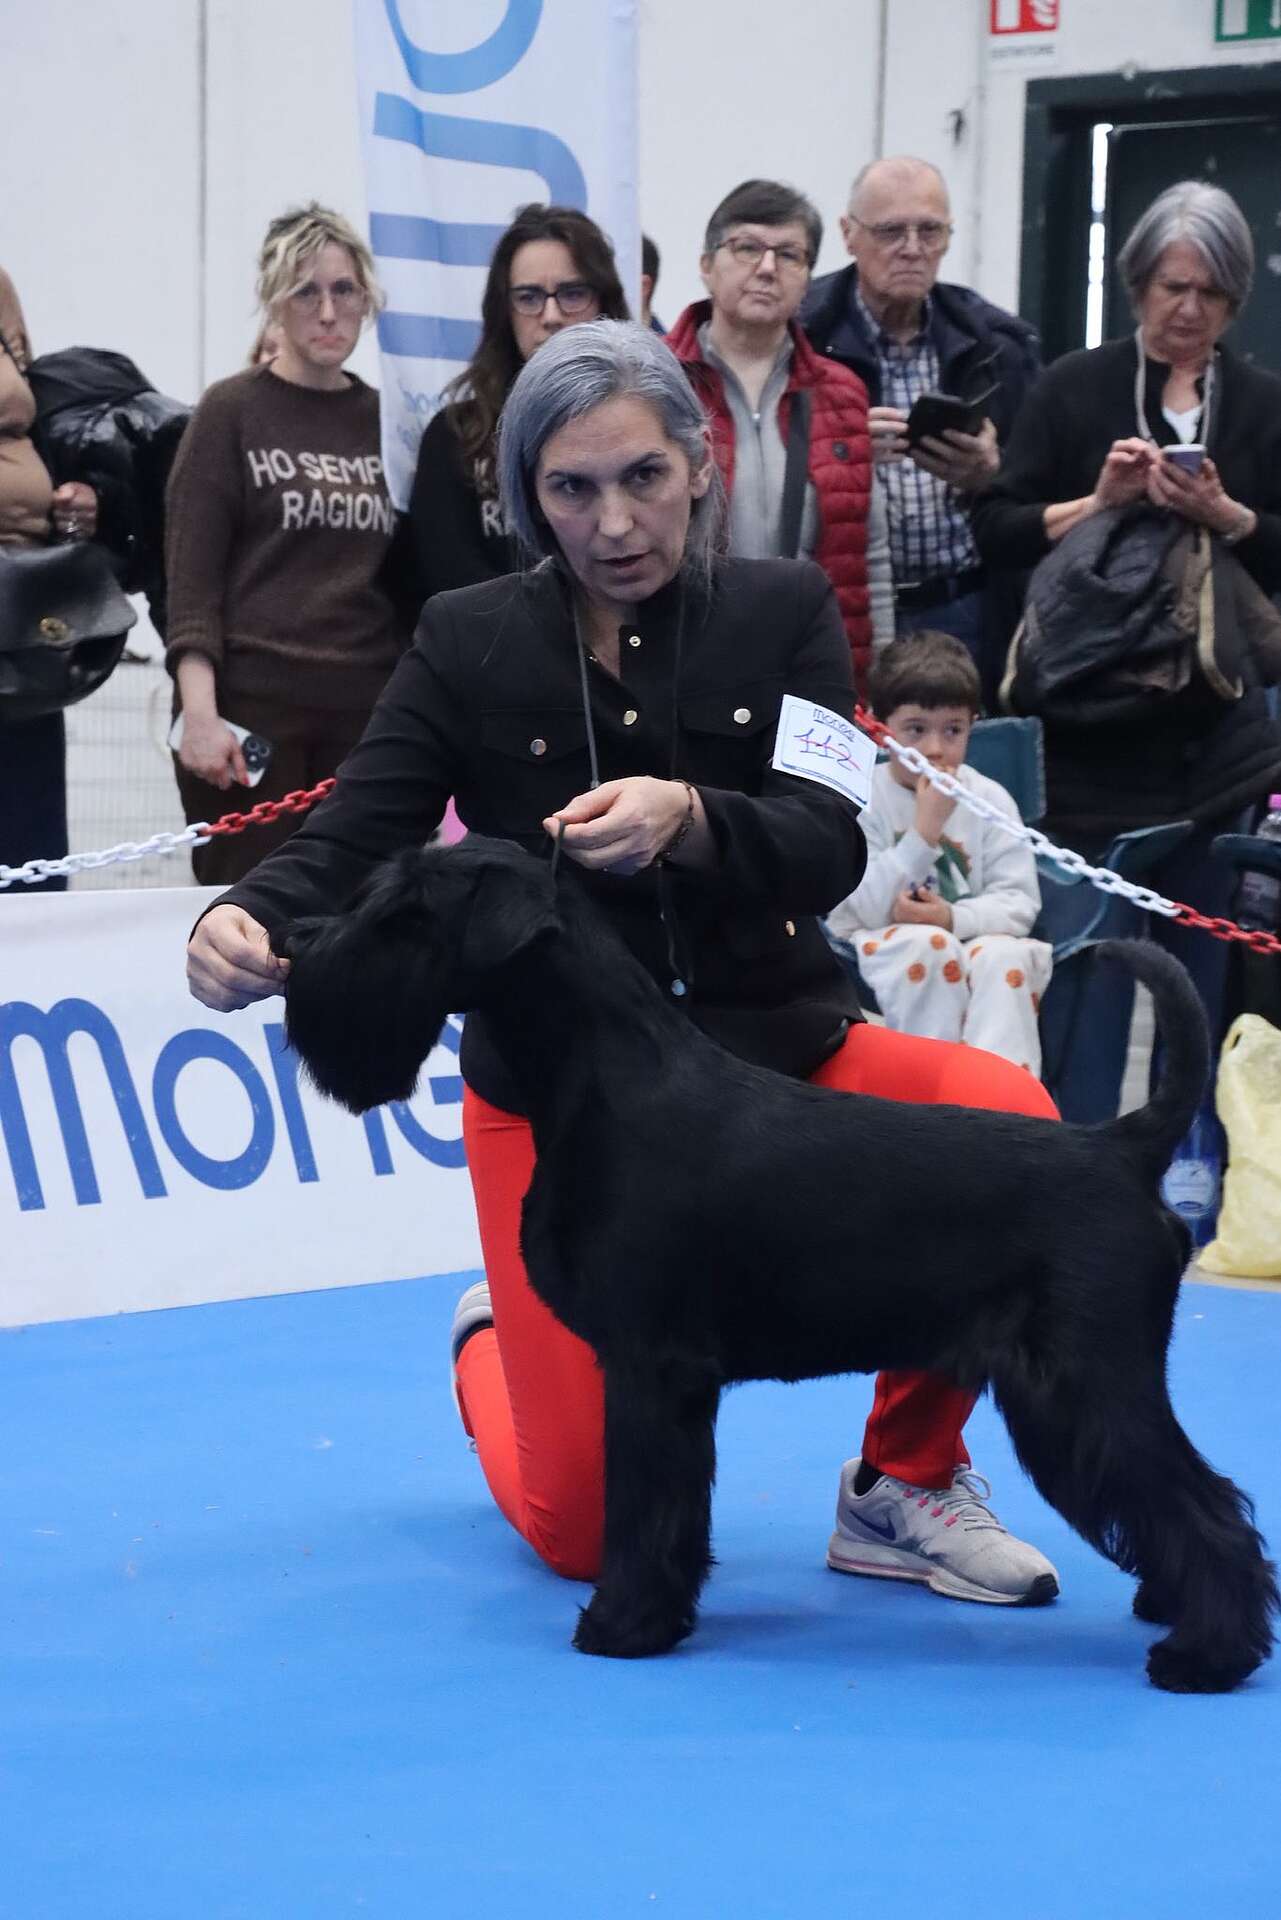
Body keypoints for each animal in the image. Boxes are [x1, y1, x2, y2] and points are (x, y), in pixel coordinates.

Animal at [278, 836, 1277, 1693]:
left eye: (407, 909)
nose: (294, 945)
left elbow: (643, 1503)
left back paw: (1206, 1653)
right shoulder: (666, 1381)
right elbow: (670, 1508)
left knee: (1205, 1507)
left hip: (1086, 1382)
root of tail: (1123, 1146)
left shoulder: (650, 1369)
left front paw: (624, 1624)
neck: (603, 1084)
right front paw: (660, 1614)